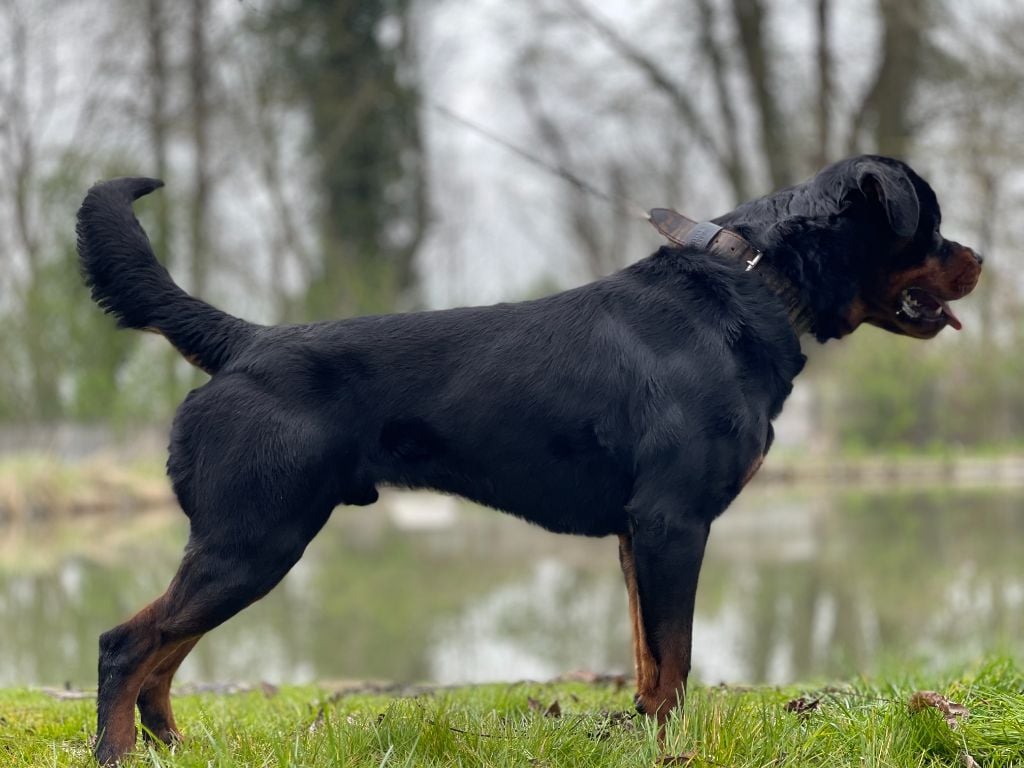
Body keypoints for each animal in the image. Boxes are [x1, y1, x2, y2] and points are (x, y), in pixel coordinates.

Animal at [77, 154, 974, 765]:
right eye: (929, 224)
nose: (980, 259)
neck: (755, 283)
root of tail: (244, 342)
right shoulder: (673, 523)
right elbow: (677, 657)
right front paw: (668, 743)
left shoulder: (638, 536)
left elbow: (649, 658)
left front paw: (639, 734)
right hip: (254, 540)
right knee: (128, 644)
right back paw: (119, 753)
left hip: (245, 545)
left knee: (163, 654)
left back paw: (172, 748)